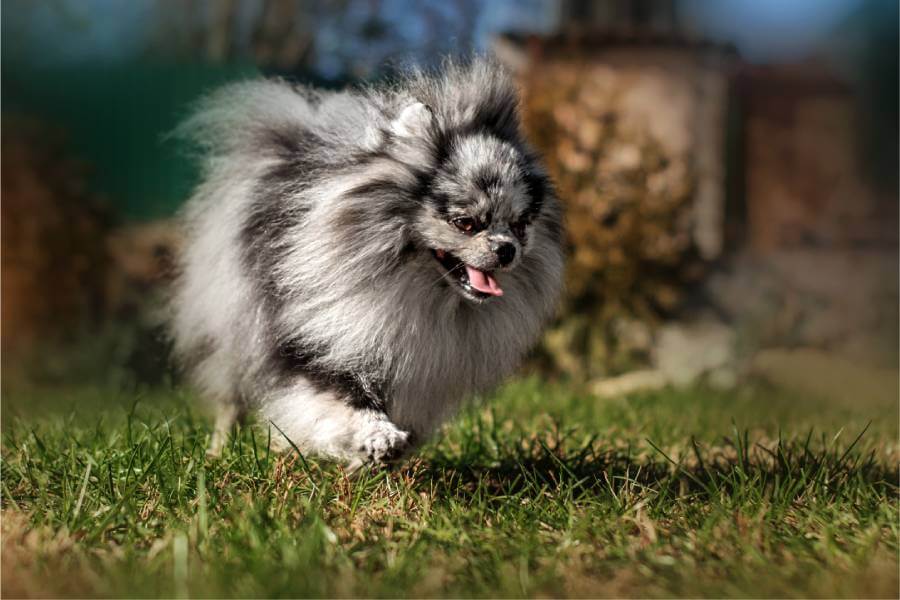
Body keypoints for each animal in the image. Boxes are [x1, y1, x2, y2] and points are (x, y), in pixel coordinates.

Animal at [169, 58, 564, 466]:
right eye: (466, 223)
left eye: (520, 225)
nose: (506, 249)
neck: (419, 295)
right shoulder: (318, 342)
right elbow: (342, 402)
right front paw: (377, 438)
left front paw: (371, 461)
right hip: (237, 325)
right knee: (230, 398)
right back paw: (217, 451)